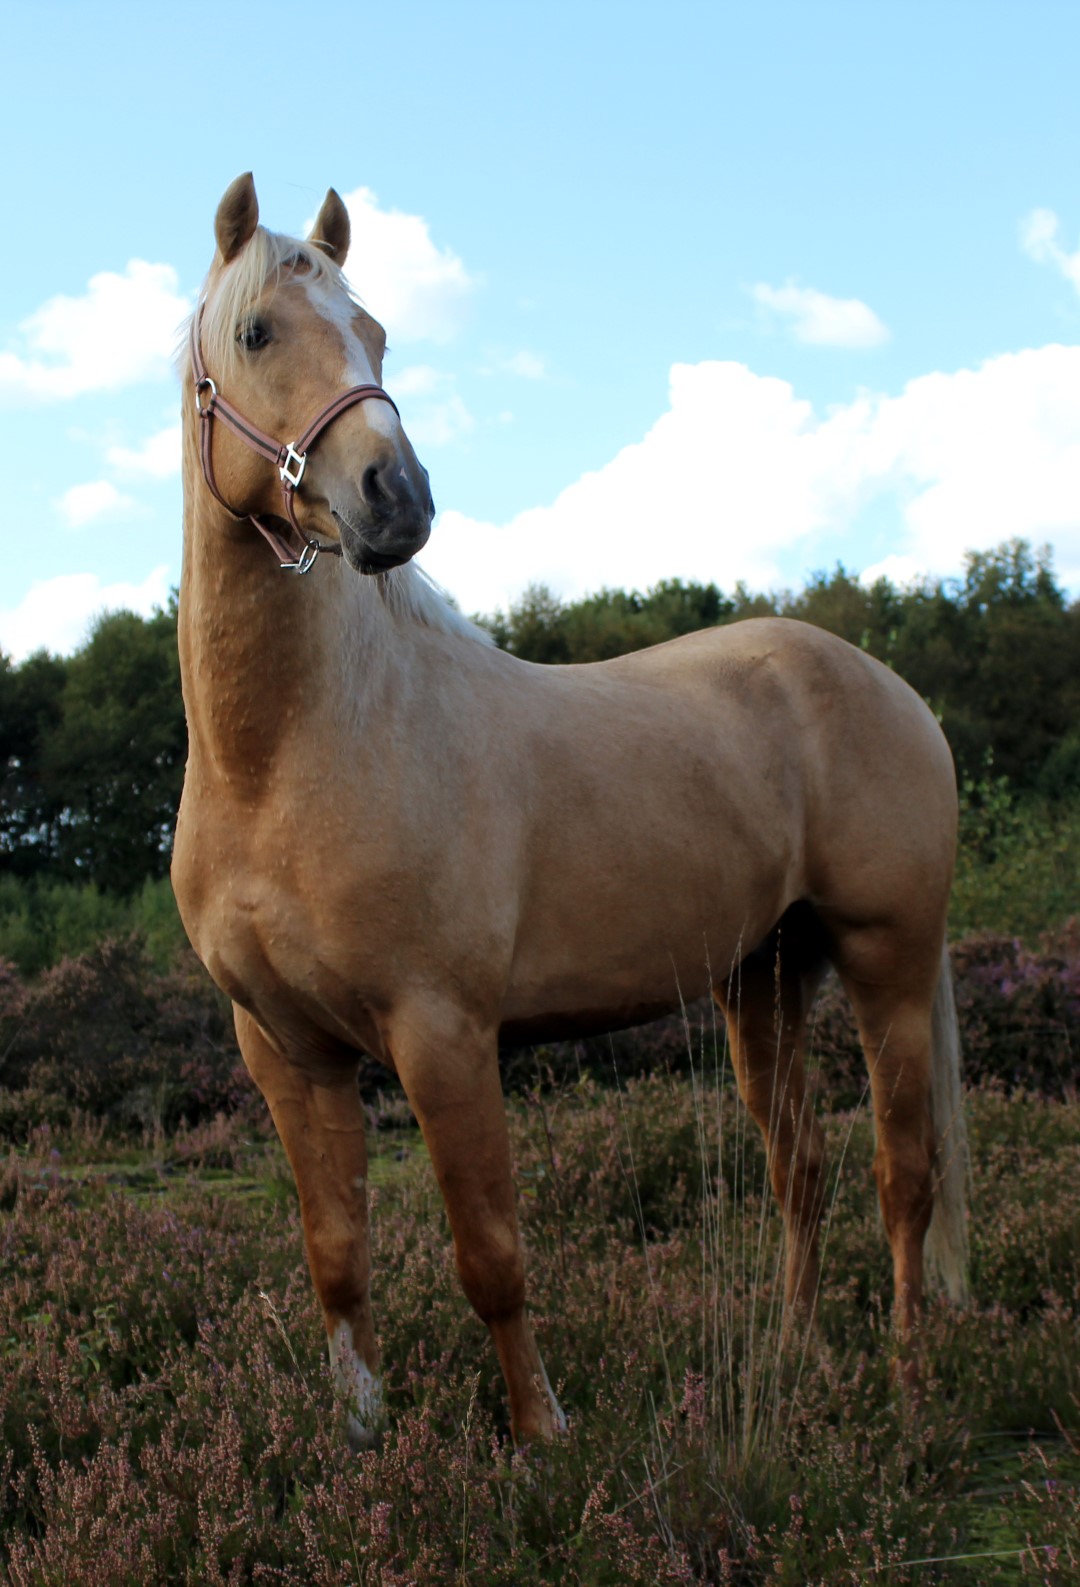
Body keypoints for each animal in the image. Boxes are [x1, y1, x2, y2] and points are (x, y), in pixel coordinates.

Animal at [172, 172, 968, 1450]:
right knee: (801, 1168)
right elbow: (336, 1256)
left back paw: (901, 1376)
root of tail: (887, 687)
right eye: (256, 333)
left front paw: (542, 1433)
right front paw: (363, 1438)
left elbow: (490, 1254)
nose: (397, 499)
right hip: (764, 977)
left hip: (884, 959)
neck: (285, 762)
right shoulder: (288, 1053)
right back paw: (798, 1355)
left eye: (377, 333)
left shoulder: (443, 1034)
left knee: (906, 1169)